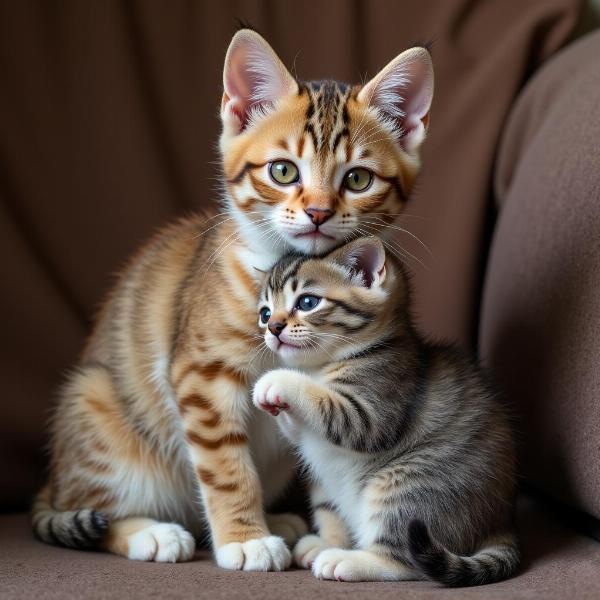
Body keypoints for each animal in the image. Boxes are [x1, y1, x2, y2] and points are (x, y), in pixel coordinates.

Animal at [30, 29, 434, 572]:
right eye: (283, 171)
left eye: (357, 179)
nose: (318, 213)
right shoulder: (200, 374)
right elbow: (224, 466)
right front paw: (244, 539)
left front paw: (323, 538)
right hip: (93, 401)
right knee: (91, 507)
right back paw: (150, 533)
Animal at [251, 237, 516, 584]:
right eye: (265, 312)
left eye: (307, 302)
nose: (273, 326)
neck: (325, 364)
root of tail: (497, 520)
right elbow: (299, 433)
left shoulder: (376, 405)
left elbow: (330, 405)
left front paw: (277, 379)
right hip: (326, 485)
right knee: (333, 510)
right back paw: (325, 544)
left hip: (410, 484)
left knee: (403, 560)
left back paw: (346, 560)